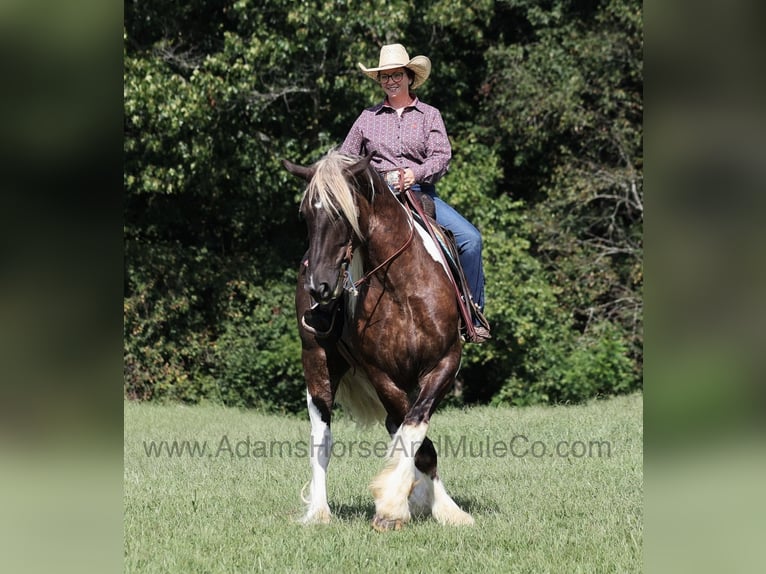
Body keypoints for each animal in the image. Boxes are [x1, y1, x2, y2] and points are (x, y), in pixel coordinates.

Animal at [283, 150, 474, 531]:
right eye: (307, 214)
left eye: (342, 212)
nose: (318, 286)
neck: (403, 286)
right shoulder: (382, 373)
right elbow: (418, 440)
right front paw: (394, 506)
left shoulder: (443, 364)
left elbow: (414, 430)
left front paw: (436, 506)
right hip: (317, 362)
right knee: (322, 437)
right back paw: (320, 511)